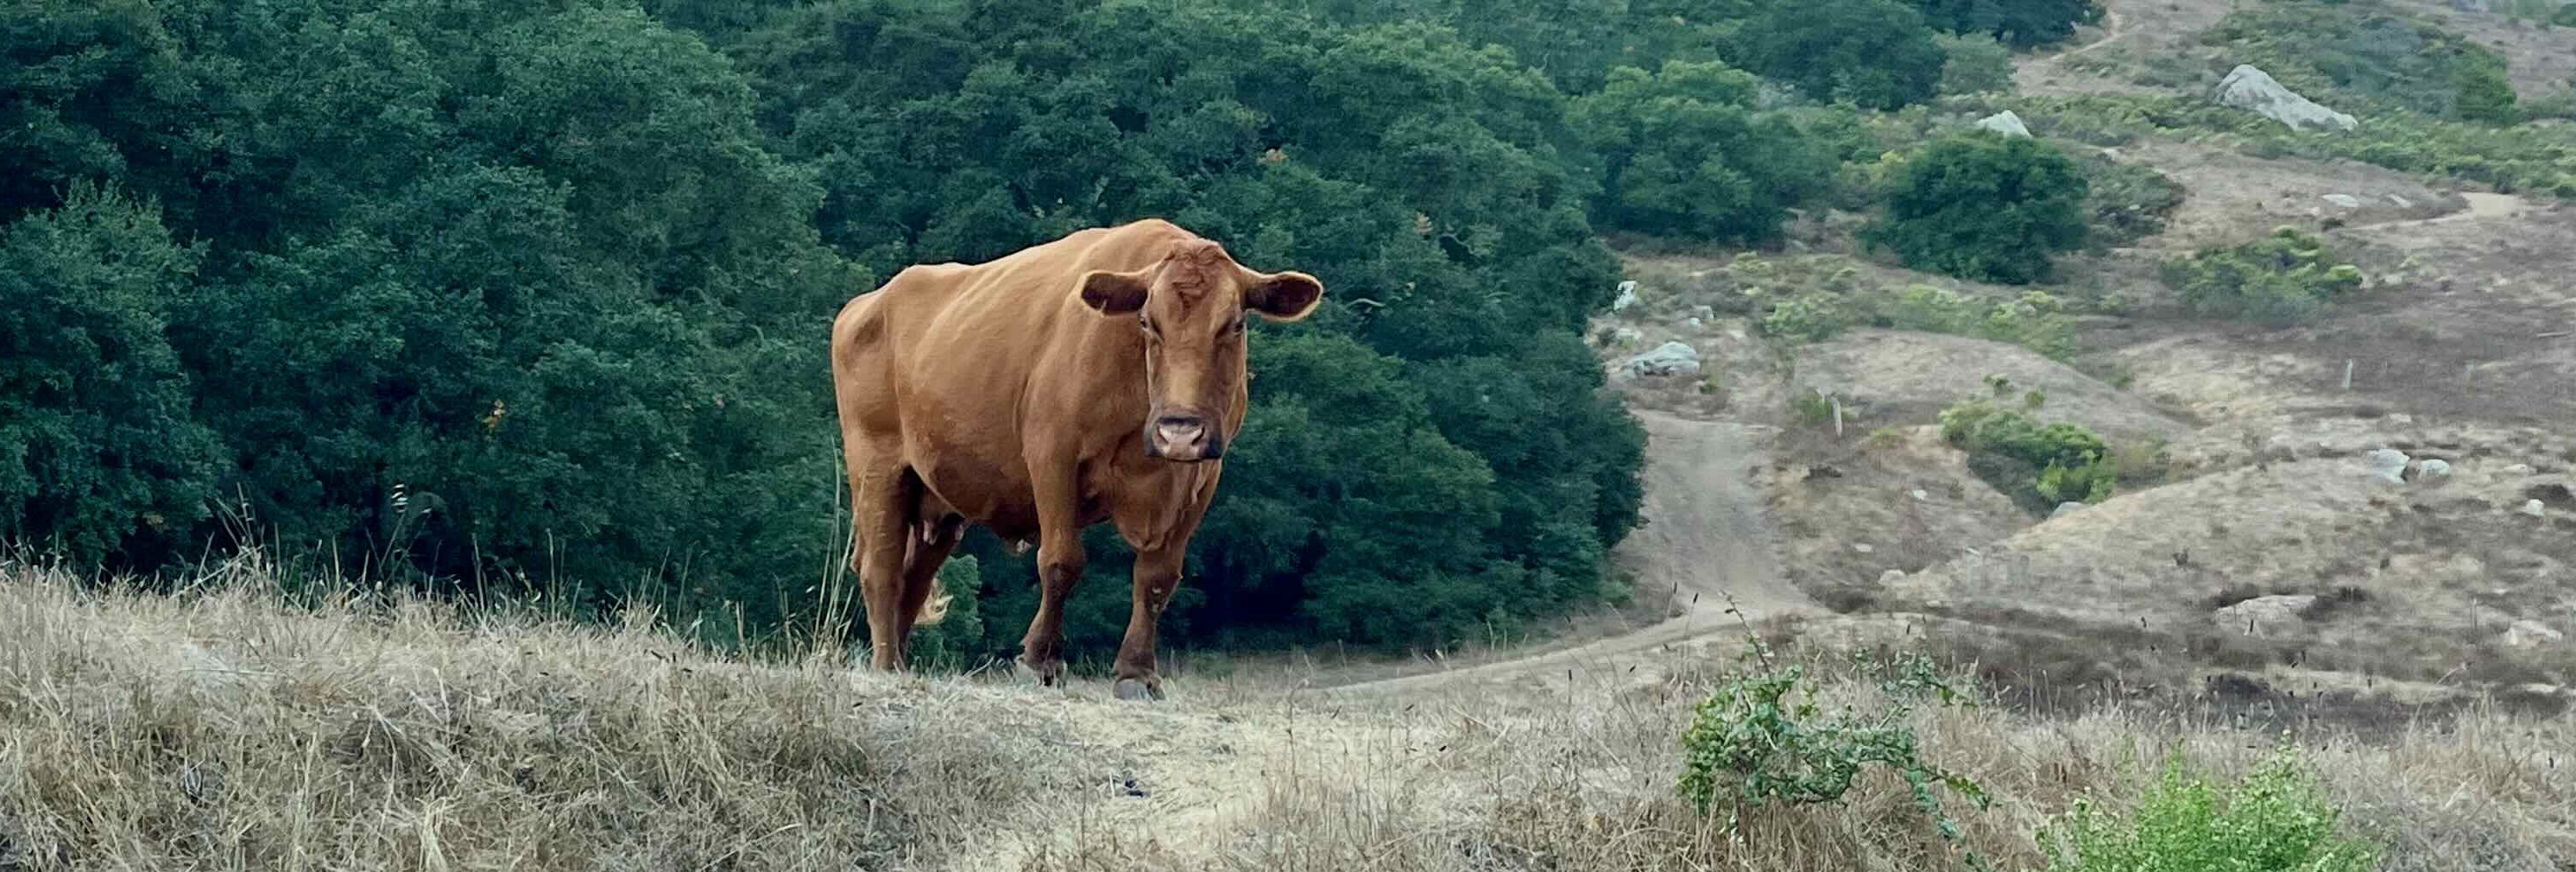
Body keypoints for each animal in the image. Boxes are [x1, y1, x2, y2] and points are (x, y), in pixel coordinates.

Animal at [829, 218, 1323, 701]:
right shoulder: (1053, 456)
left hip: (939, 498)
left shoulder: (1201, 476)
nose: (1179, 431)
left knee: (914, 577)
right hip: (877, 467)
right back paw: (887, 664)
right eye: (1147, 322)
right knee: (882, 568)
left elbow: (1157, 577)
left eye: (1234, 324)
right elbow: (1061, 561)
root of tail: (868, 303)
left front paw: (1136, 672)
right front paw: (1040, 661)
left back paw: (901, 661)